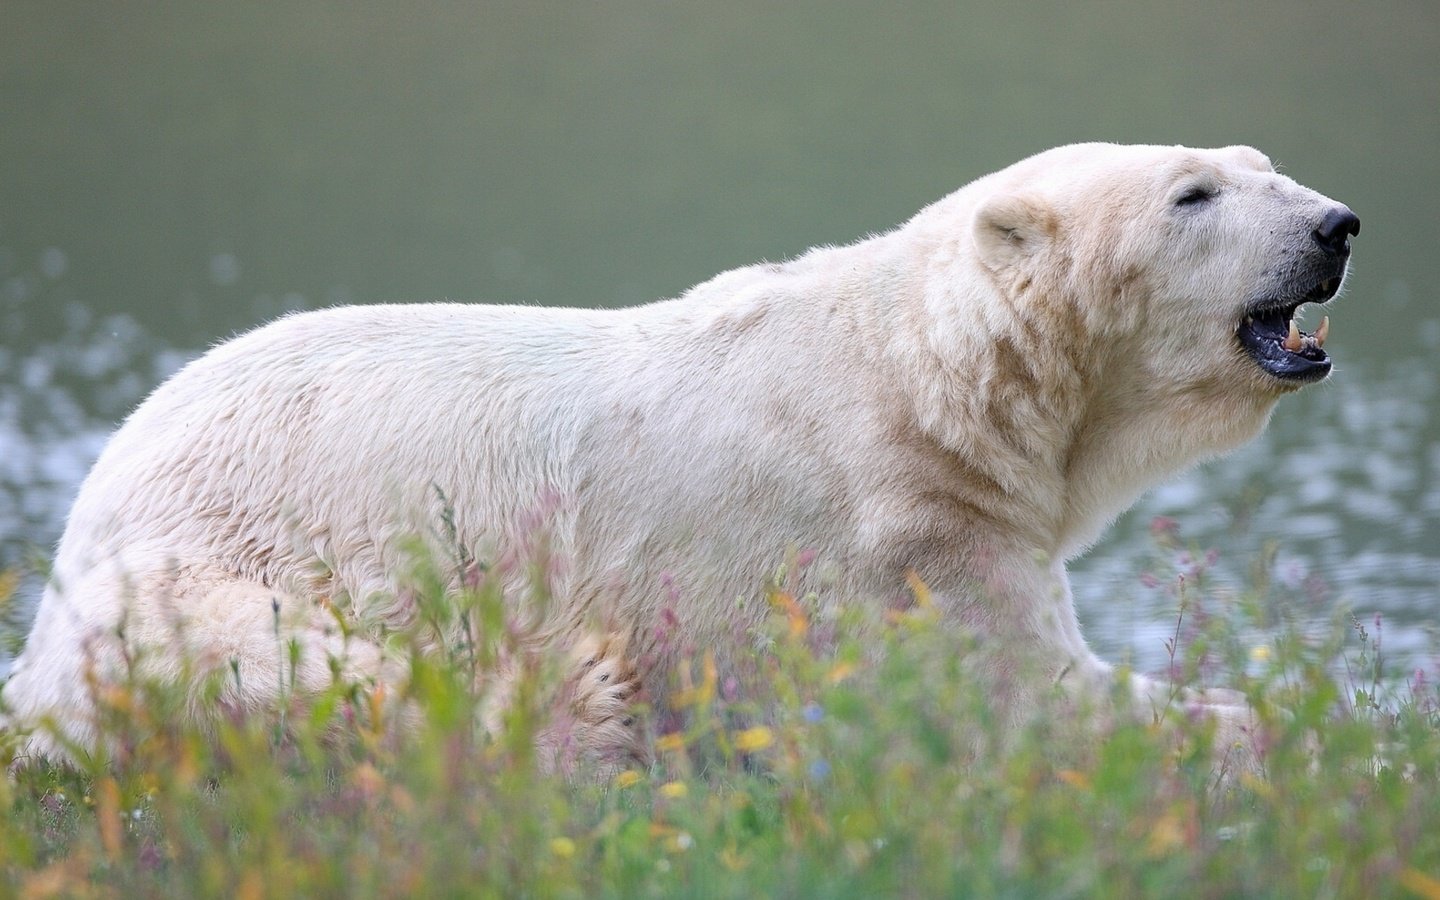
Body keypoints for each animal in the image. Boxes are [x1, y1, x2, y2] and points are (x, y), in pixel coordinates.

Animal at [0, 141, 1353, 766]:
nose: (1337, 223)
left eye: (1260, 165)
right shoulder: (893, 539)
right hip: (209, 563)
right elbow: (1035, 706)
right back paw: (579, 710)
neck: (927, 386)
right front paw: (1289, 727)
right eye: (1191, 194)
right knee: (317, 675)